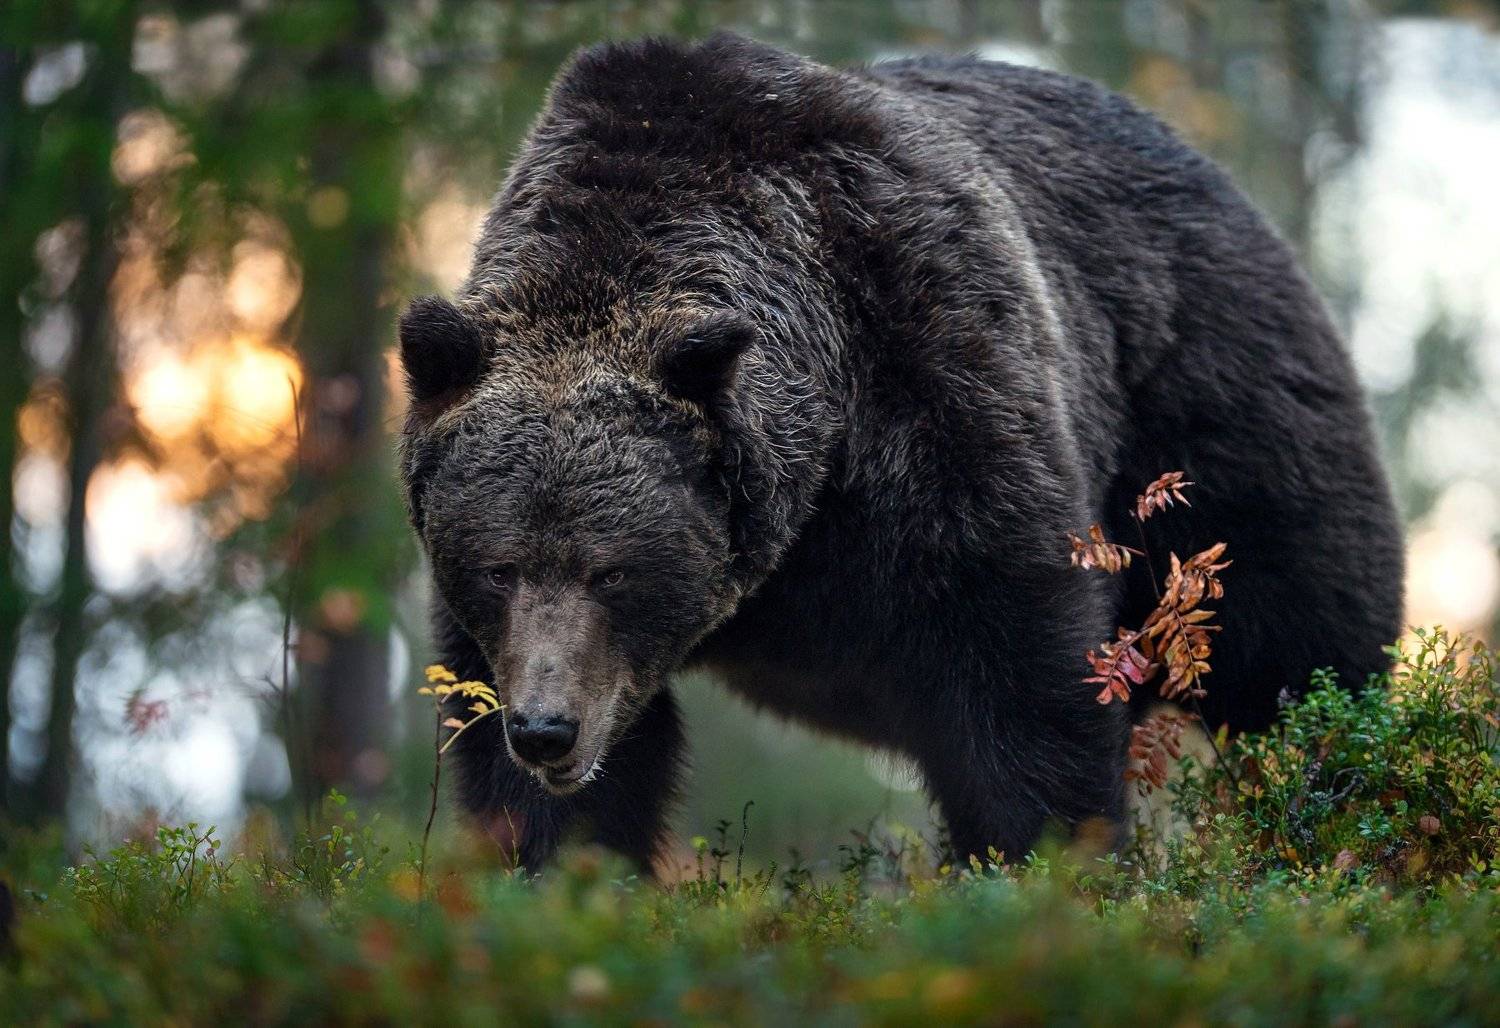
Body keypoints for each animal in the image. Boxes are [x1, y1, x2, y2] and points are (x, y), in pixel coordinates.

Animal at [396, 33, 1404, 872]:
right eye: (498, 565)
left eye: (612, 569)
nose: (548, 730)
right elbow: (547, 785)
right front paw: (554, 868)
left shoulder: (935, 385)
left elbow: (1019, 680)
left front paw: (1045, 868)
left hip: (1214, 422)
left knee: (1296, 652)